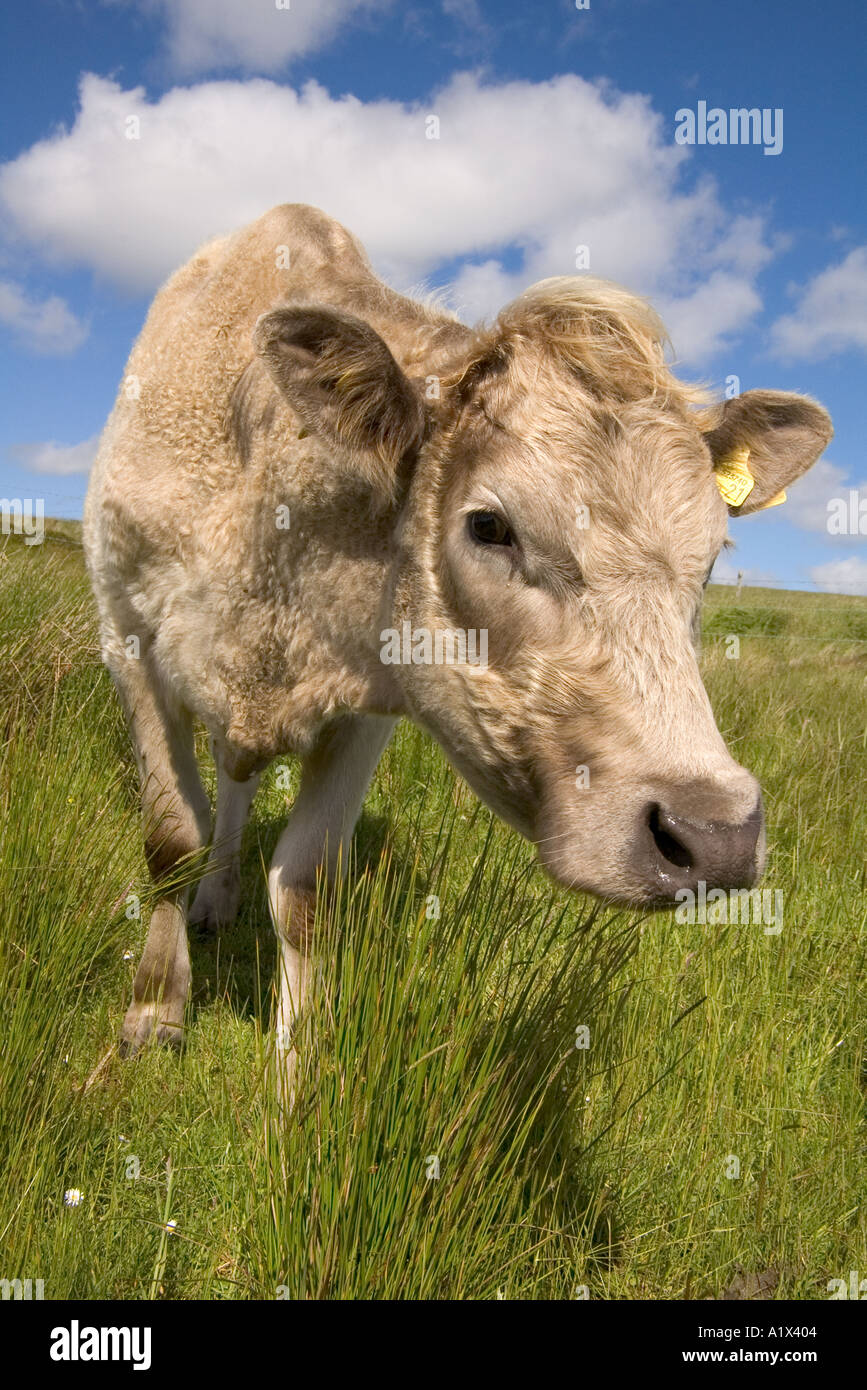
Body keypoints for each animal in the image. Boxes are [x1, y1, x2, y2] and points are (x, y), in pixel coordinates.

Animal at [83, 204, 832, 1087]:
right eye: (488, 526)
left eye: (711, 556)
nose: (715, 835)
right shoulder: (127, 636)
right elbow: (172, 840)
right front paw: (154, 1013)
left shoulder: (365, 705)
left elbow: (305, 890)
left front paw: (298, 1080)